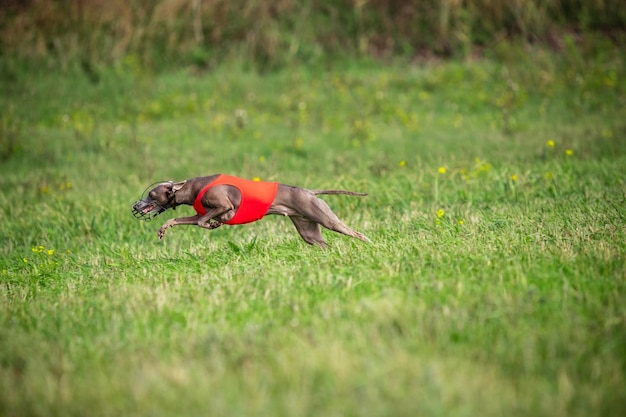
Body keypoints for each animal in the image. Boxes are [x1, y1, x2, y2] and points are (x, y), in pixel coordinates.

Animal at [129, 173, 368, 247]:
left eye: (151, 195)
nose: (135, 206)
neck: (192, 187)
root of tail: (309, 191)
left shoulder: (225, 207)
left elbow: (203, 221)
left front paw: (212, 224)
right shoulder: (198, 212)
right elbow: (180, 219)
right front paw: (163, 229)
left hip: (326, 219)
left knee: (357, 233)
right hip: (308, 231)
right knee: (324, 243)